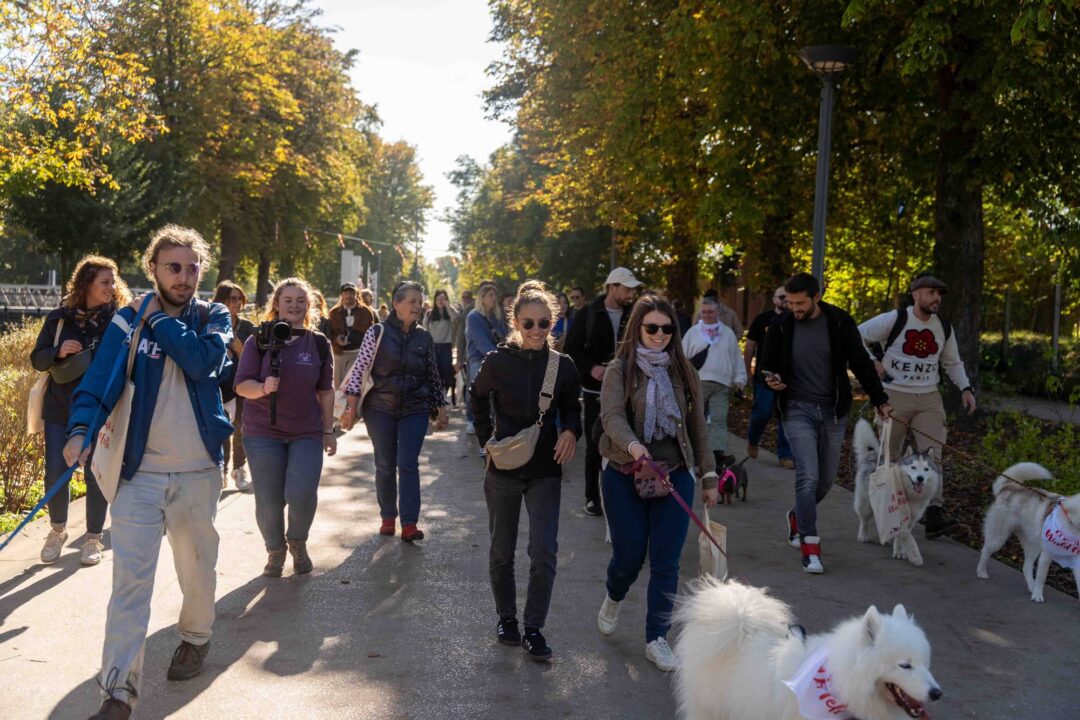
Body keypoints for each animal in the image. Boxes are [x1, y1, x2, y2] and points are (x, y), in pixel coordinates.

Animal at [851, 418, 937, 565]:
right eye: (913, 467)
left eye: (926, 469)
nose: (920, 478)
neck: (910, 493)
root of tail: (874, 456)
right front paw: (899, 552)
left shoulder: (911, 519)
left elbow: (901, 535)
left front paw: (900, 550)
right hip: (865, 503)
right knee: (864, 519)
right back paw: (863, 535)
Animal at [972, 462, 1080, 604]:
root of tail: (1010, 487)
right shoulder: (1046, 555)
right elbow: (1041, 578)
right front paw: (1038, 595)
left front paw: (1035, 592)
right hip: (998, 537)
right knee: (985, 550)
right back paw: (981, 571)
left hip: (1033, 545)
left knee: (1026, 567)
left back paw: (1031, 587)